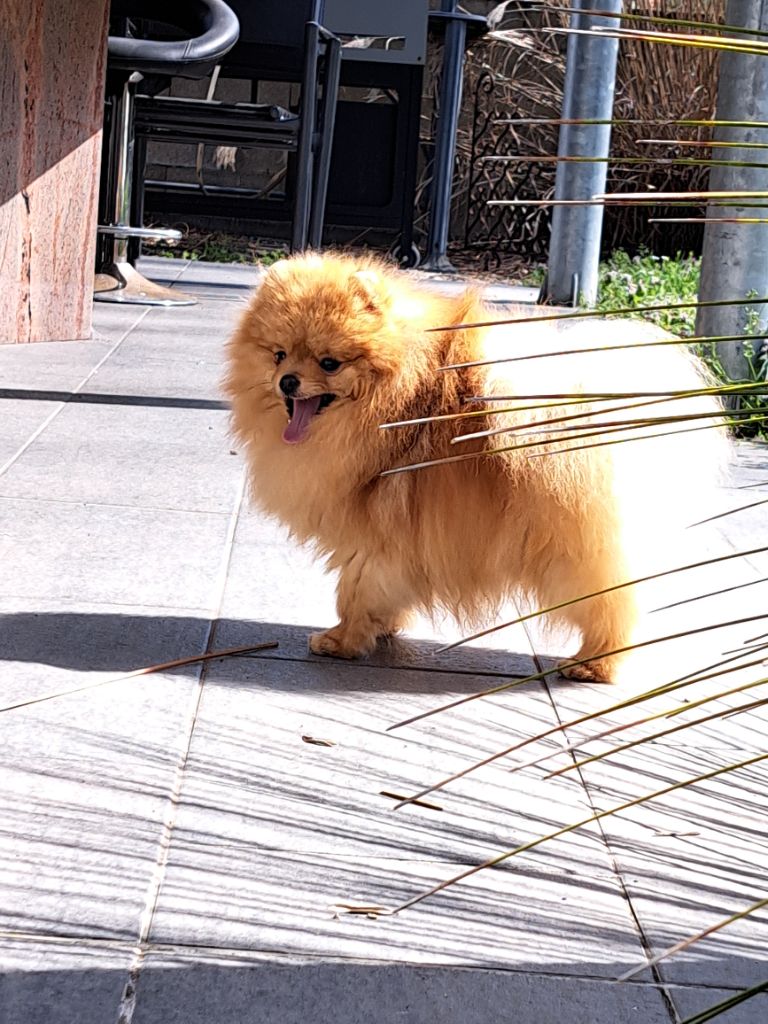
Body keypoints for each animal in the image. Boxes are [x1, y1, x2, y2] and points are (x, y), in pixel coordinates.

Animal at [225, 252, 724, 679]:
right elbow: (381, 591)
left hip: (573, 549)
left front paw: (343, 640)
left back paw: (594, 663)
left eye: (329, 363)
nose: (288, 381)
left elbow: (356, 589)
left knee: (613, 602)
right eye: (278, 354)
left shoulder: (376, 534)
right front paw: (381, 628)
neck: (398, 398)